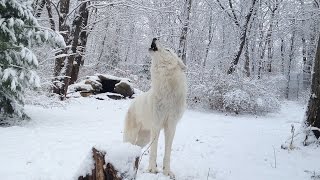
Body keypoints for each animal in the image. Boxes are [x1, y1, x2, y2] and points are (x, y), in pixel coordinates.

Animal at [123, 38, 188, 179]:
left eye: (168, 50)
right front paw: (152, 169)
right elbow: (154, 151)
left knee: (137, 148)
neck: (167, 92)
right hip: (133, 135)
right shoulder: (156, 125)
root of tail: (132, 102)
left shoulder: (171, 126)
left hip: (144, 138)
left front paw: (167, 172)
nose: (155, 38)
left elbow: (167, 153)